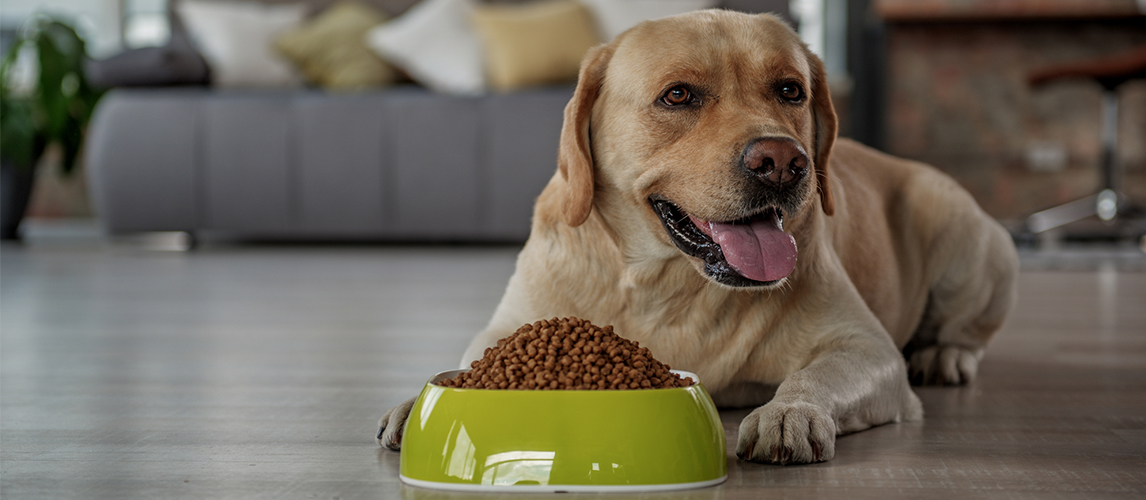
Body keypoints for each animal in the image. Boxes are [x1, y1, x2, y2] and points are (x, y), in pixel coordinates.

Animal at [380, 9, 1017, 465]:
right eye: (679, 95)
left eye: (790, 90)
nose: (782, 163)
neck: (665, 282)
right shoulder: (511, 324)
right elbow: (472, 361)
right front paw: (419, 399)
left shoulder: (866, 347)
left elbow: (815, 373)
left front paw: (789, 413)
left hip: (964, 232)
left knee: (969, 332)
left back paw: (944, 356)